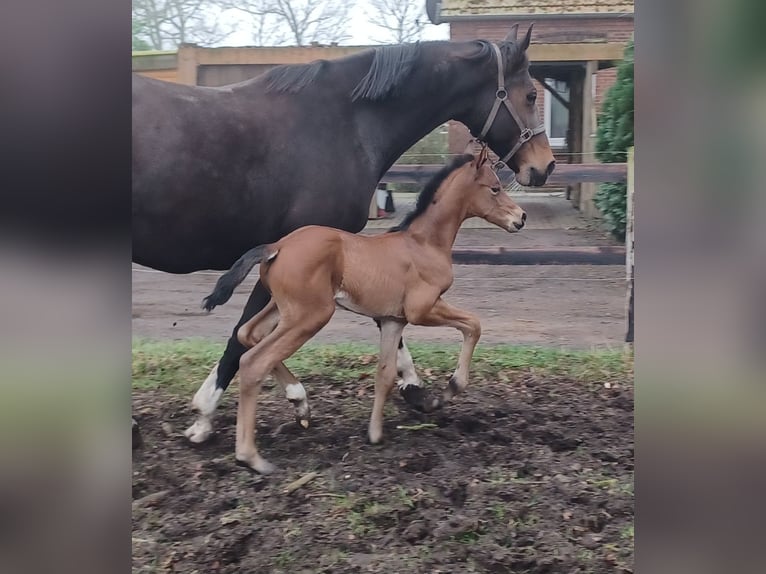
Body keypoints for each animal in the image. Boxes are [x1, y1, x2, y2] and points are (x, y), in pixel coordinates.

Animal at [204, 150, 528, 476]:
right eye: (495, 188)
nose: (521, 217)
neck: (423, 243)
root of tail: (276, 246)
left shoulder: (393, 320)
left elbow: (385, 373)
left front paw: (375, 434)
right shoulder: (422, 309)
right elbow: (474, 324)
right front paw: (448, 390)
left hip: (282, 308)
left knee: (248, 334)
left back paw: (300, 405)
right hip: (311, 315)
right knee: (254, 361)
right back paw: (251, 456)